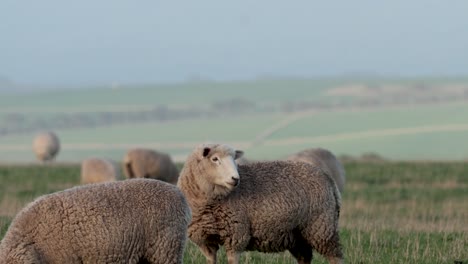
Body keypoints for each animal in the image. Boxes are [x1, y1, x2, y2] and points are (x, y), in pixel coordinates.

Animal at [177, 143, 342, 264]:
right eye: (215, 159)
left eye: (234, 159)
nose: (235, 179)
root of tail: (328, 178)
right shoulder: (205, 242)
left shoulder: (236, 235)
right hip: (297, 234)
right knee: (305, 257)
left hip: (321, 227)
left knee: (335, 256)